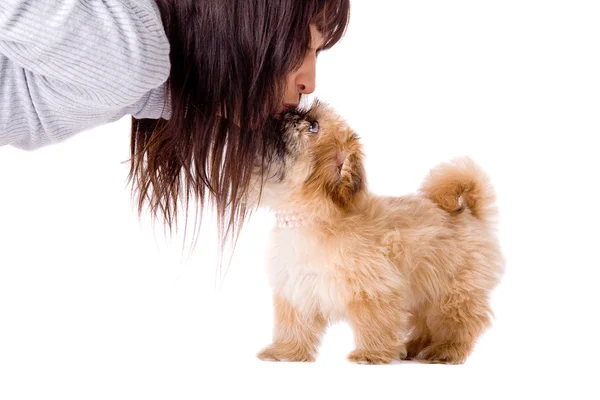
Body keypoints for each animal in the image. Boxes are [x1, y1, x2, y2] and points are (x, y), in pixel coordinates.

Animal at [251, 101, 504, 366]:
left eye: (313, 126)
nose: (290, 112)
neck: (314, 217)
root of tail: (471, 213)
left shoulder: (374, 289)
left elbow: (374, 323)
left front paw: (370, 354)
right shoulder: (297, 288)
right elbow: (294, 326)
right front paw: (285, 351)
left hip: (452, 293)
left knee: (460, 323)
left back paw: (446, 350)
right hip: (424, 293)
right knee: (425, 324)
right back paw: (413, 348)